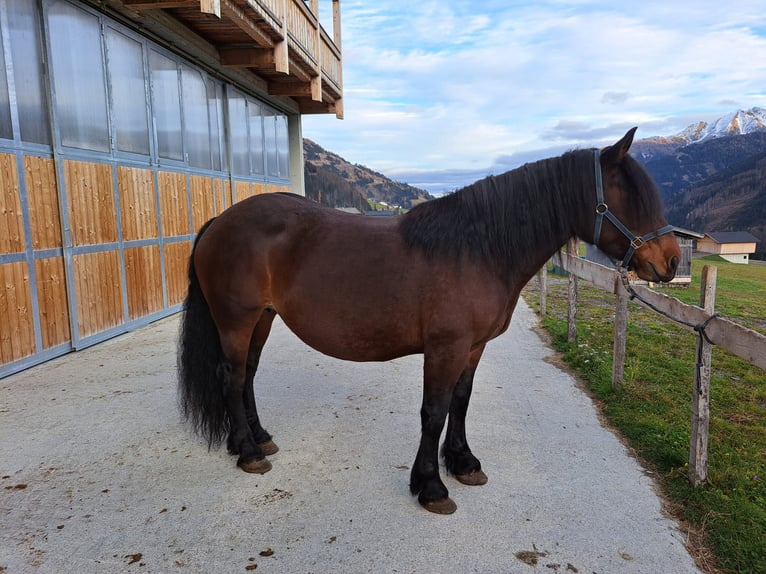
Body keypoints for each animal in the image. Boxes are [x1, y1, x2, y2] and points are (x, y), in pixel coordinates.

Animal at [177, 128, 680, 516]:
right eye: (627, 197)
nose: (672, 261)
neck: (476, 249)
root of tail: (219, 220)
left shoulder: (473, 347)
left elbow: (461, 401)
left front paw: (463, 463)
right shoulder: (445, 348)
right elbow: (433, 411)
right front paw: (431, 486)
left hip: (262, 319)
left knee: (247, 375)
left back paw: (258, 439)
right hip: (236, 320)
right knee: (231, 376)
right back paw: (247, 452)